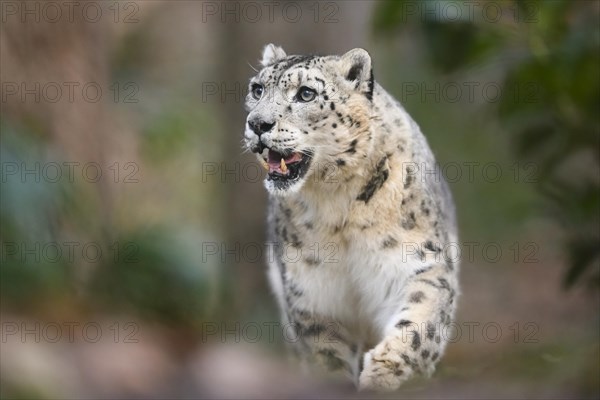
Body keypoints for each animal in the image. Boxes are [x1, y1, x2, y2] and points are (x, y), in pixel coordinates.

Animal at [241, 43, 458, 390]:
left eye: (305, 93)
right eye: (257, 89)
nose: (257, 124)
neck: (336, 202)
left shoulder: (416, 263)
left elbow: (419, 326)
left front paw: (384, 374)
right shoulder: (312, 291)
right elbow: (327, 355)